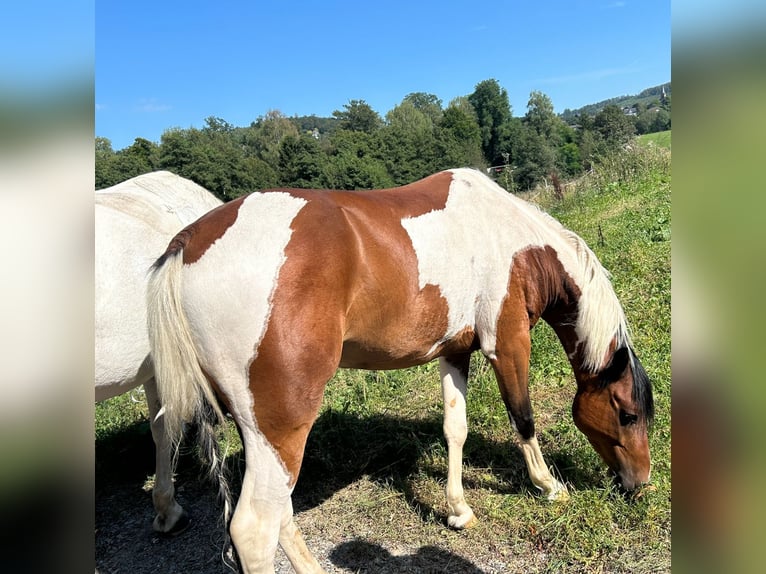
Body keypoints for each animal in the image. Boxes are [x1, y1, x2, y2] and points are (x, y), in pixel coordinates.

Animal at [146, 168, 654, 573]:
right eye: (626, 414)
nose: (640, 485)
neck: (513, 241)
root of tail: (186, 243)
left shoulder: (455, 350)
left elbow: (455, 428)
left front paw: (458, 510)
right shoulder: (507, 344)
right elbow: (523, 418)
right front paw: (549, 486)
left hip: (261, 433)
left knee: (280, 512)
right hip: (282, 423)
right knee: (255, 528)